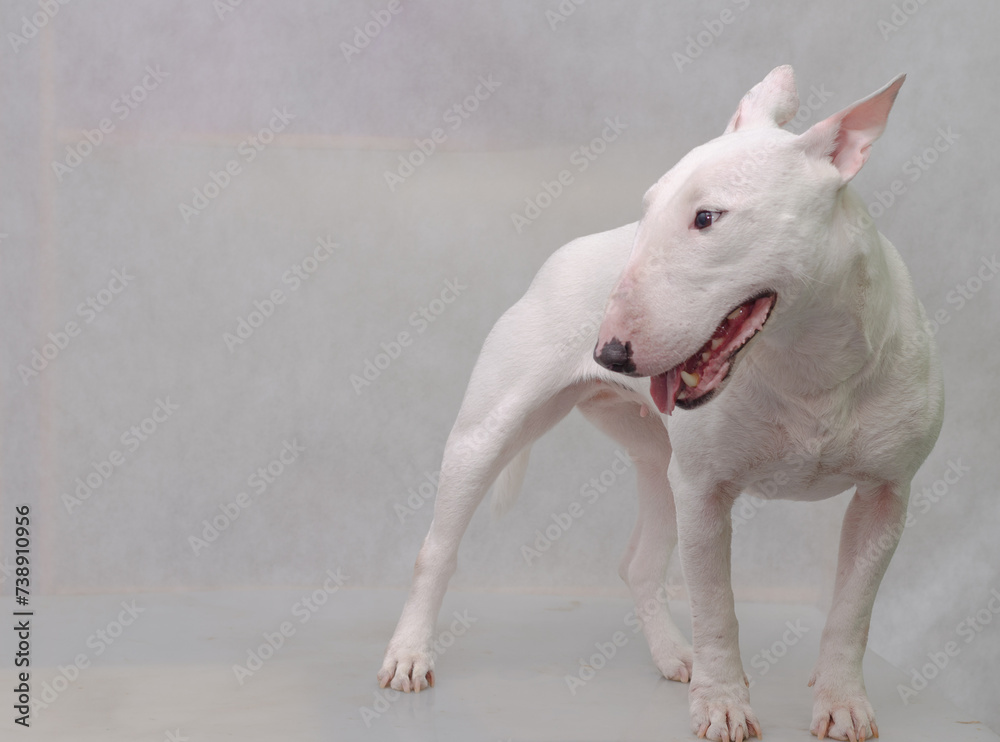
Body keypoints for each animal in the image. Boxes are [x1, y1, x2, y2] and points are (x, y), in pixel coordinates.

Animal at [376, 67, 944, 740]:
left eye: (707, 217)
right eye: (648, 208)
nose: (608, 352)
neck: (808, 363)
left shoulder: (885, 495)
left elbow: (852, 611)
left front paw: (842, 704)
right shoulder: (705, 491)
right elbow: (717, 607)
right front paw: (723, 705)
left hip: (660, 463)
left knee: (640, 565)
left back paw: (676, 655)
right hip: (489, 432)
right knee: (437, 549)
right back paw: (409, 654)